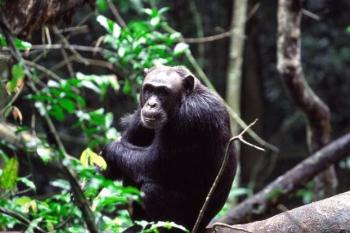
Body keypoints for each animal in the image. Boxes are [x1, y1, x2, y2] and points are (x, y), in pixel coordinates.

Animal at [102, 64, 238, 232]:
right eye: (149, 89)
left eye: (162, 92)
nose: (151, 104)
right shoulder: (140, 114)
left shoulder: (191, 117)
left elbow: (153, 162)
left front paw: (108, 150)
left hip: (191, 221)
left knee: (150, 190)